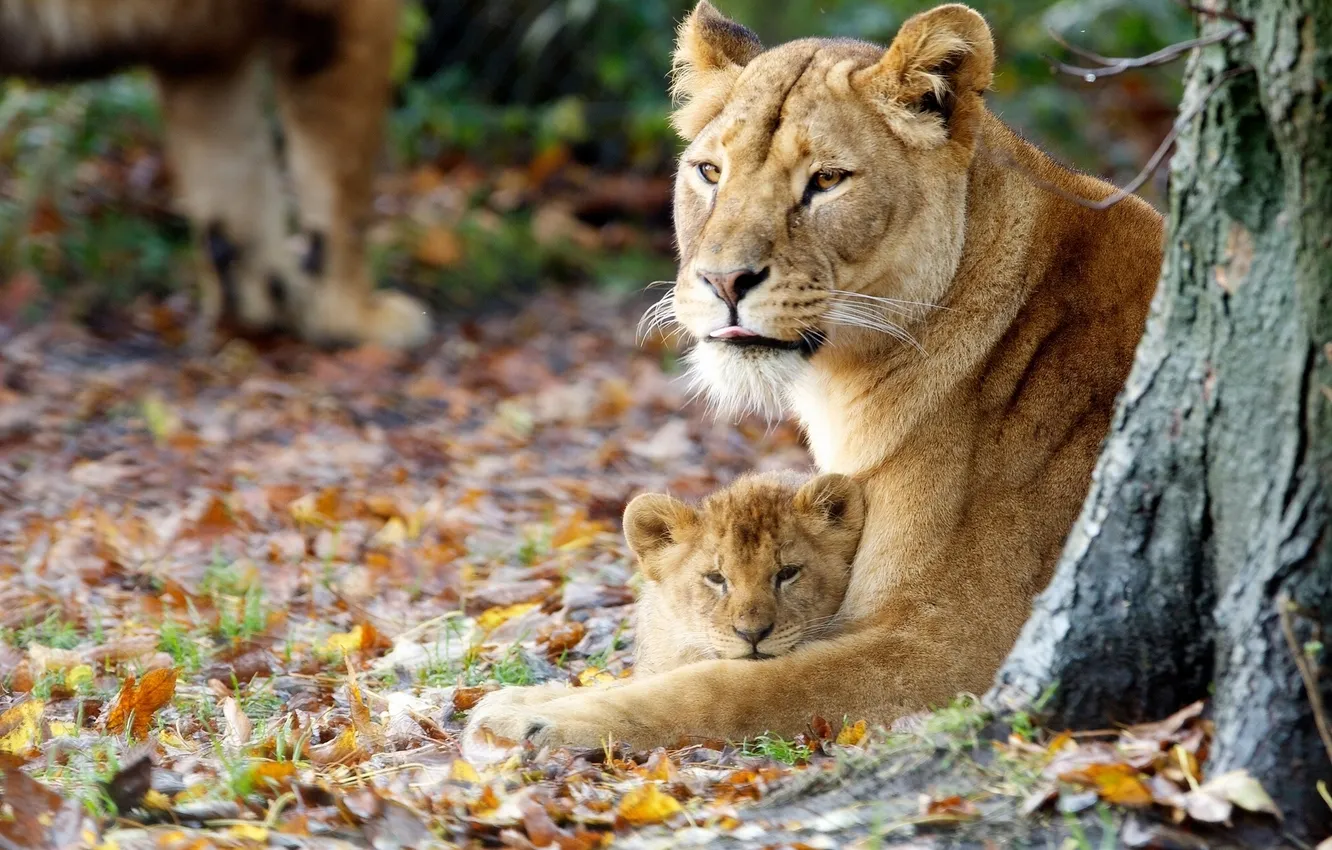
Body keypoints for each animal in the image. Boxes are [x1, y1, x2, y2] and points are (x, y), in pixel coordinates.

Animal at [0, 0, 432, 350]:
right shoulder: (342, 15)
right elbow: (343, 192)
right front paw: (355, 319)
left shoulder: (203, 53)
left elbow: (232, 191)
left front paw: (258, 307)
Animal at [464, 0, 1165, 754]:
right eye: (709, 171)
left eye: (827, 181)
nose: (723, 281)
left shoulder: (960, 645)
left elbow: (734, 687)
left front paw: (534, 712)